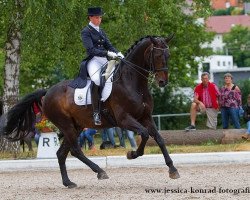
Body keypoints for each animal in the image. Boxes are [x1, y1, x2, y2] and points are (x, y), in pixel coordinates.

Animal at [0, 35, 180, 188]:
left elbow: (159, 138)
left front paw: (172, 170)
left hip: (76, 126)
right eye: (157, 55)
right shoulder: (124, 120)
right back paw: (100, 171)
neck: (133, 84)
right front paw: (132, 154)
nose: (163, 82)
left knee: (61, 153)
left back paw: (68, 182)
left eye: (169, 55)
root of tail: (47, 92)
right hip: (66, 126)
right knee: (75, 150)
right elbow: (144, 134)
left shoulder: (146, 117)